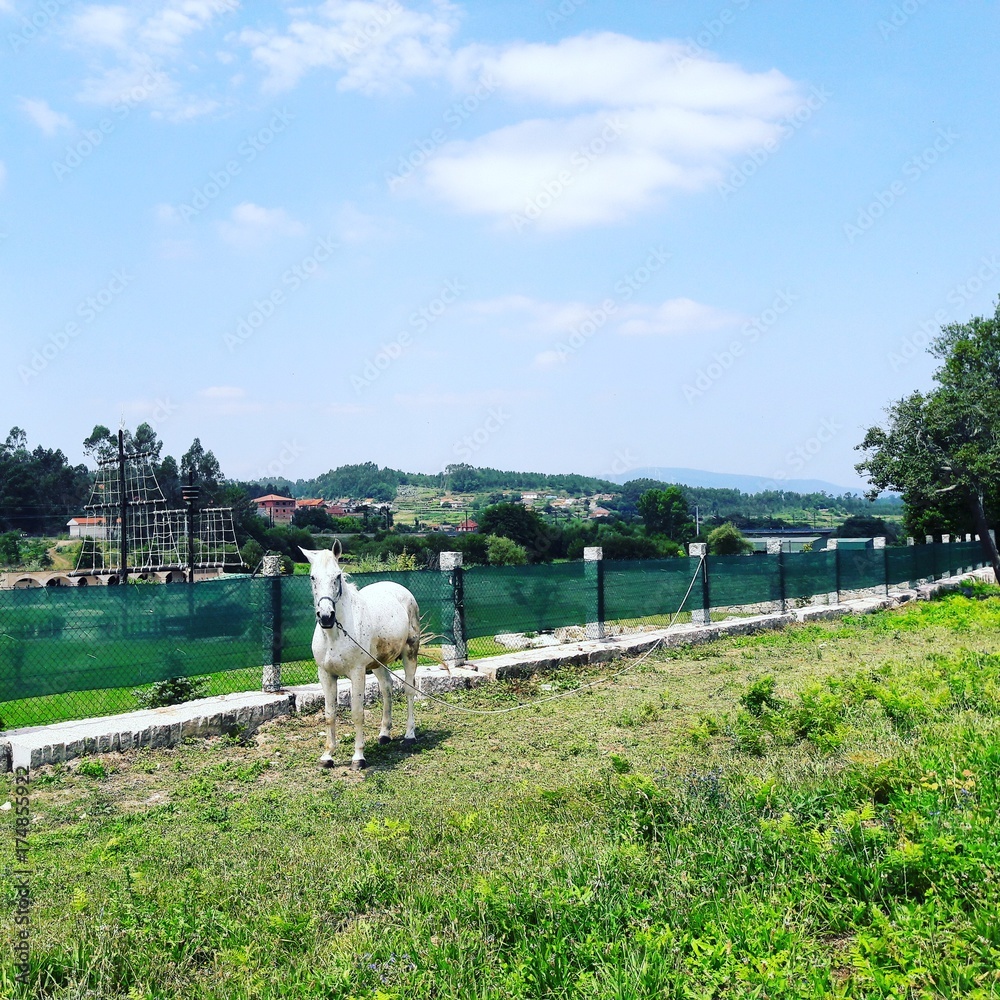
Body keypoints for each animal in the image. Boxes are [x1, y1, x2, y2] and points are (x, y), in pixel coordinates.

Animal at [301, 544, 421, 770]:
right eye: (313, 577)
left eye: (337, 576)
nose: (326, 616)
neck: (335, 634)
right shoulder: (326, 674)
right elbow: (329, 714)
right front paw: (327, 756)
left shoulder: (357, 673)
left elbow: (357, 713)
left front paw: (358, 757)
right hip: (378, 663)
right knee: (387, 689)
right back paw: (384, 734)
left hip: (410, 653)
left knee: (409, 690)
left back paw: (410, 735)